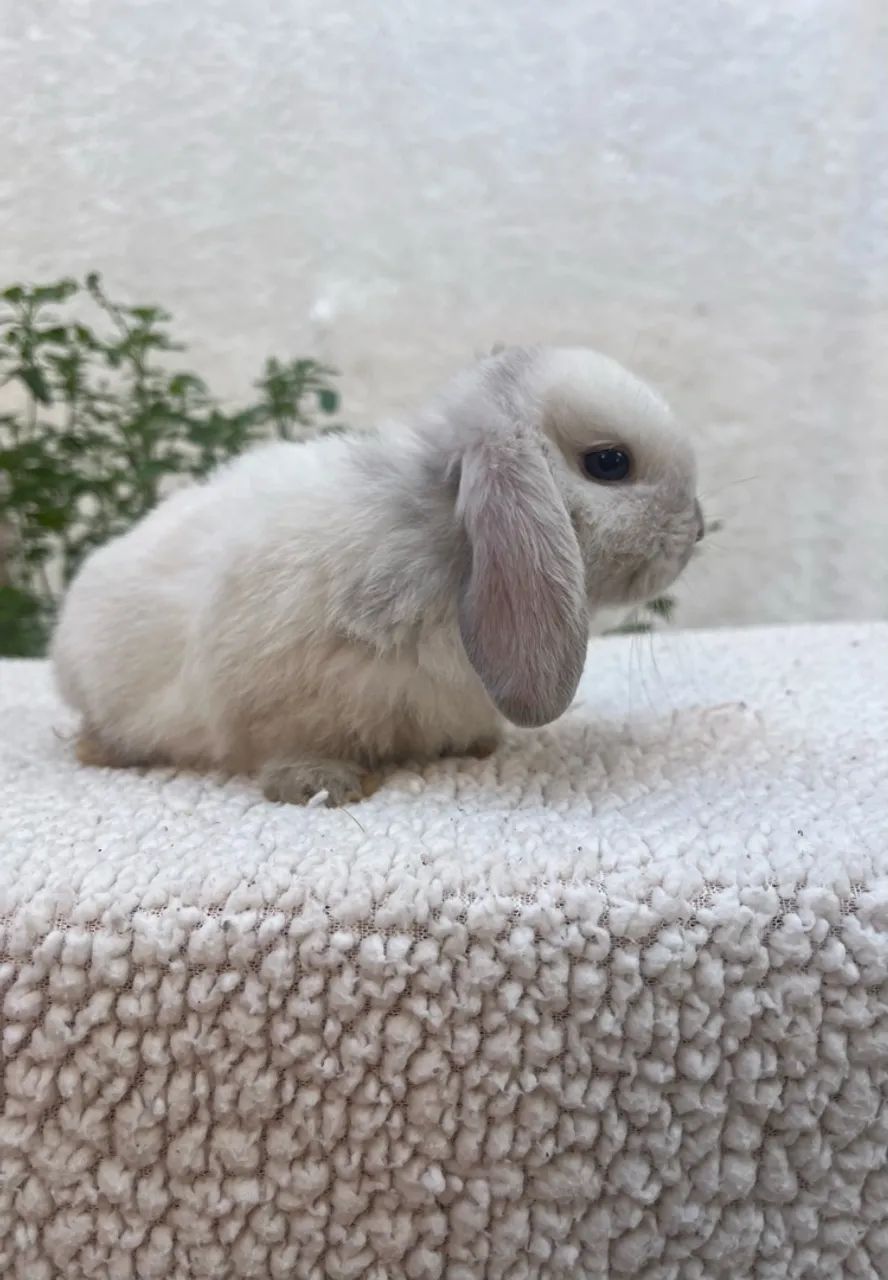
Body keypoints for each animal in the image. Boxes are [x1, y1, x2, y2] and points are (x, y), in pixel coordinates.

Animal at [52, 345, 704, 806]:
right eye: (609, 463)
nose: (696, 531)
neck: (441, 542)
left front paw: (478, 746)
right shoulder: (270, 697)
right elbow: (285, 745)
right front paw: (321, 785)